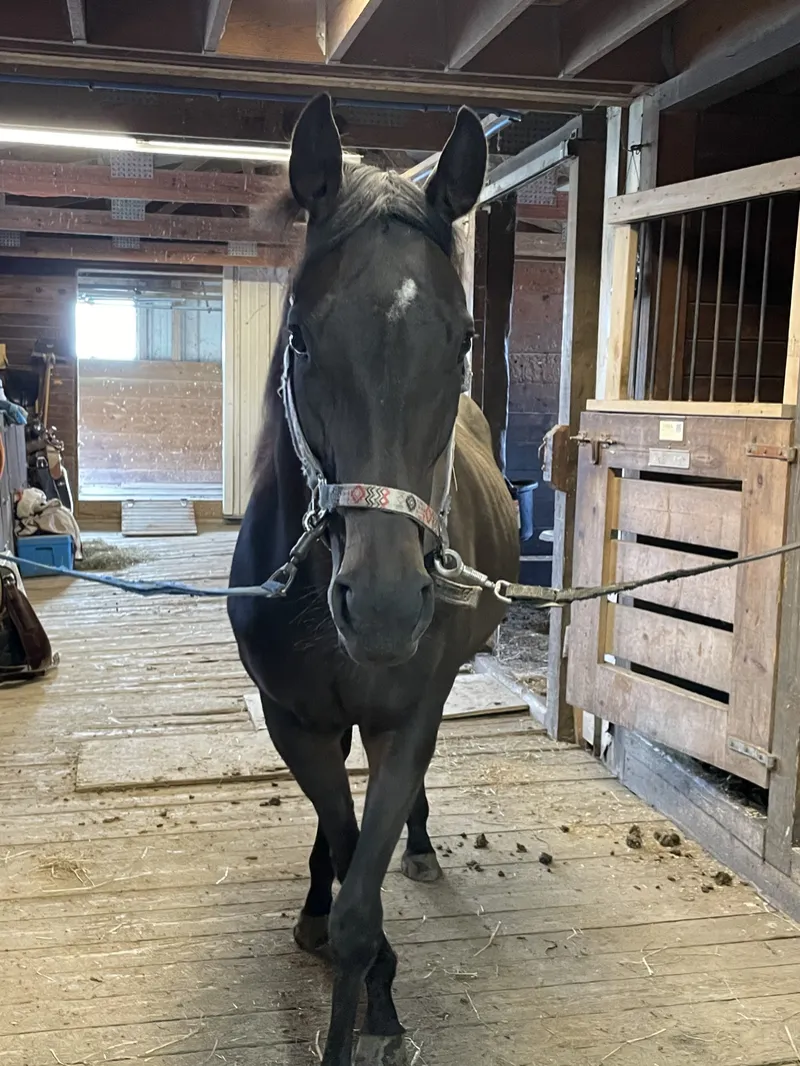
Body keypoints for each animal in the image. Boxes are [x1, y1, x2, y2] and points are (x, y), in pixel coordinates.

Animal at [228, 93, 519, 1066]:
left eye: (464, 340)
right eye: (301, 338)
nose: (387, 609)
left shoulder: (404, 720)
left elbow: (368, 890)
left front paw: (376, 1013)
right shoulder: (296, 722)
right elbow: (340, 835)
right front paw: (331, 928)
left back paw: (419, 847)